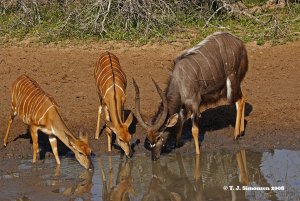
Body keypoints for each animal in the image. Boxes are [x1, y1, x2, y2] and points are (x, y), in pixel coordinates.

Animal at [134, 31, 248, 160]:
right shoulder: (183, 106)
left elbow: (194, 130)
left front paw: (198, 154)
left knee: (239, 101)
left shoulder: (194, 103)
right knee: (243, 98)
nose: (154, 157)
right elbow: (179, 123)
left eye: (159, 137)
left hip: (231, 84)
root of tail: (240, 43)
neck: (179, 80)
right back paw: (241, 131)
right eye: (149, 139)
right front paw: (176, 145)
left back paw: (236, 135)